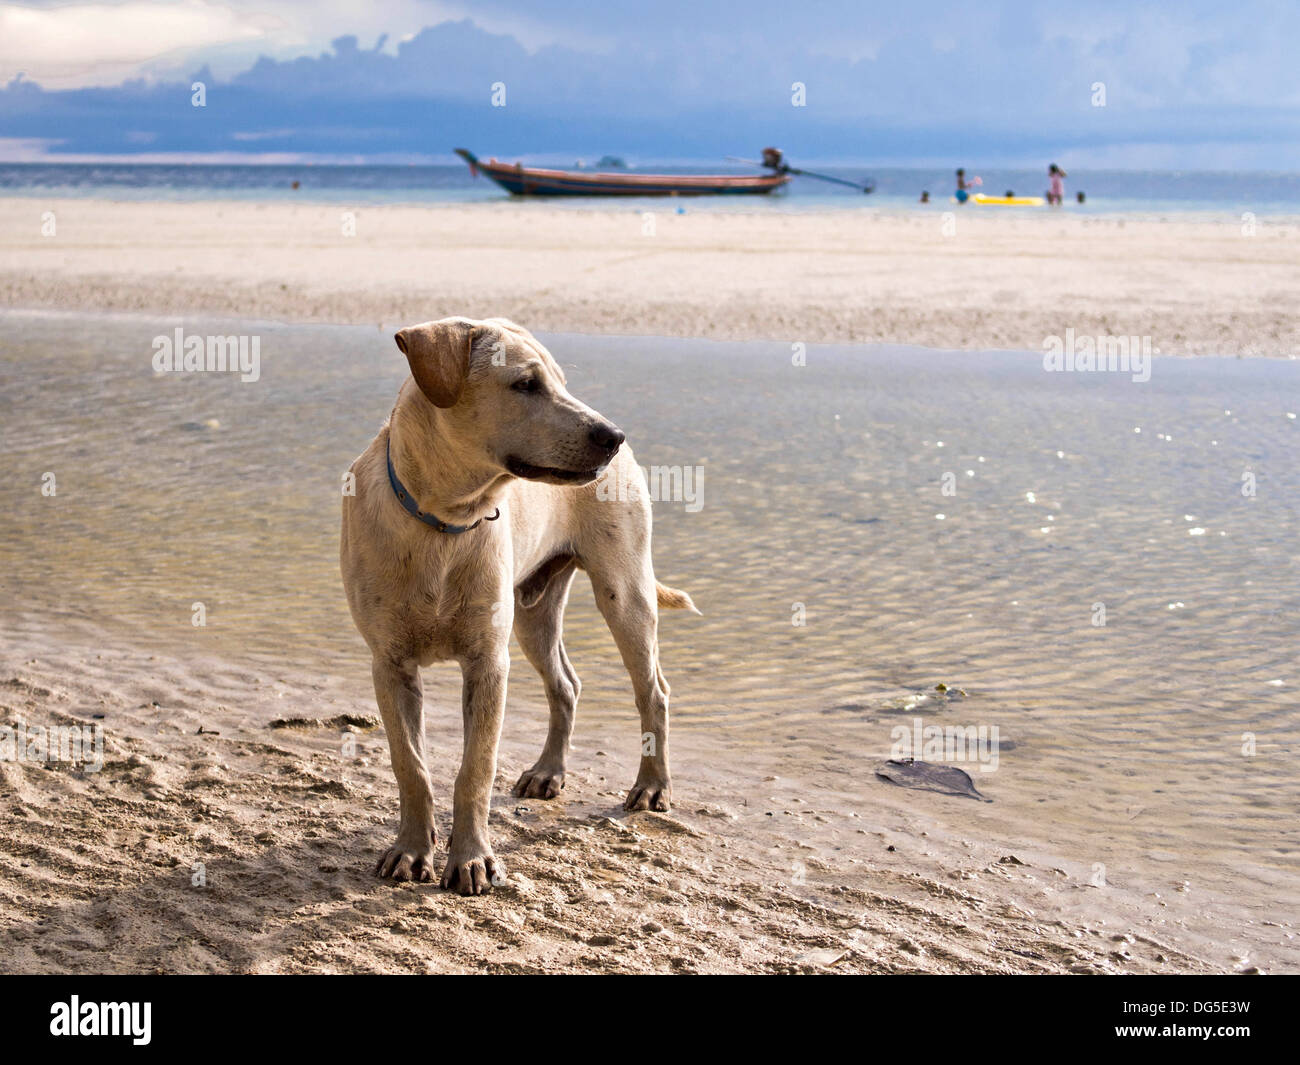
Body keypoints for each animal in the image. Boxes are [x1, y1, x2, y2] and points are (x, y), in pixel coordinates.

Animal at [340, 321, 696, 894]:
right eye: (526, 384)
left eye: (562, 382)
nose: (613, 437)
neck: (445, 523)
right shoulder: (389, 665)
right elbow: (410, 765)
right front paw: (411, 851)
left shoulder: (489, 663)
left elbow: (475, 768)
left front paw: (471, 860)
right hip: (534, 612)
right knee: (566, 685)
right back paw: (548, 772)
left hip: (625, 594)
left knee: (654, 693)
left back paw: (652, 787)